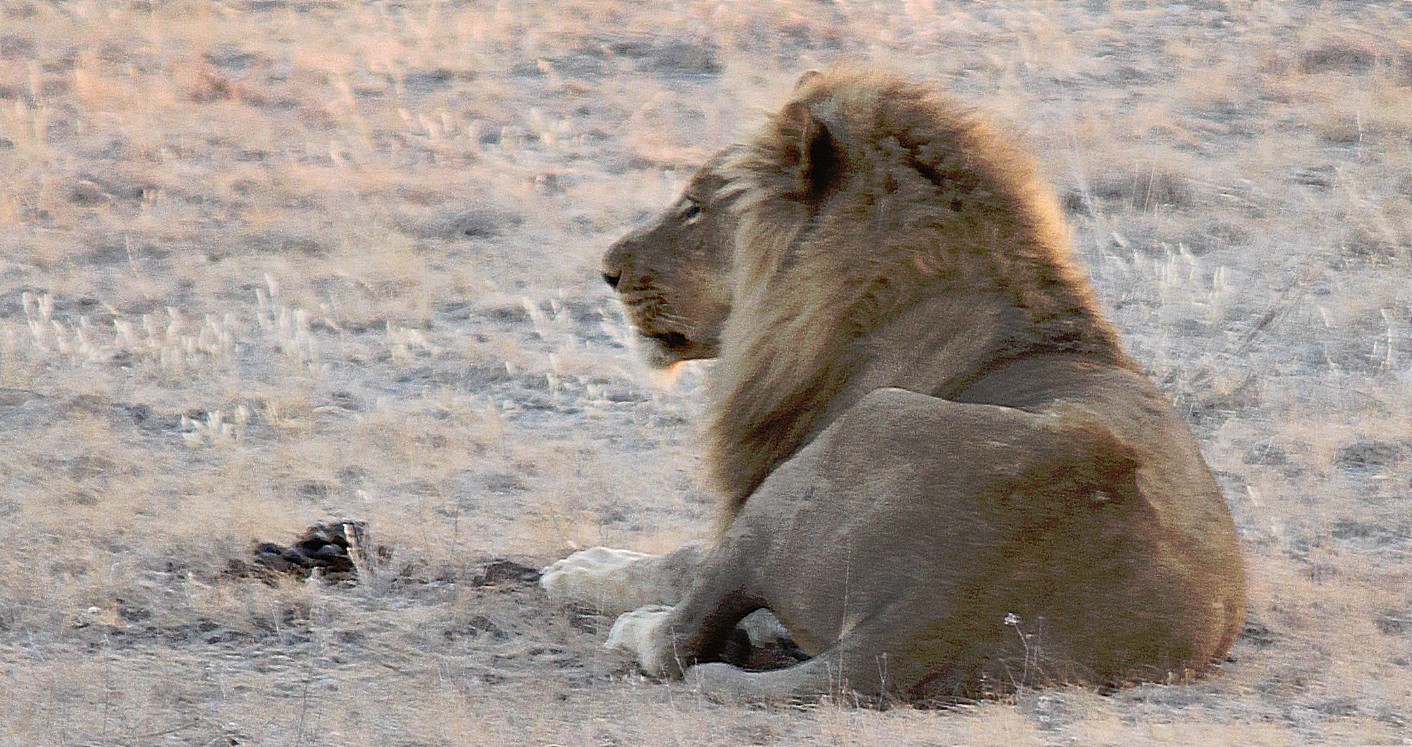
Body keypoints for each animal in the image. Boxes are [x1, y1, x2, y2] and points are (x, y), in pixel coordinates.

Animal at [539, 64, 1248, 700]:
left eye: (692, 208)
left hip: (855, 435)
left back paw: (638, 627)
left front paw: (581, 567)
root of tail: (944, 600)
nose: (607, 270)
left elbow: (680, 560)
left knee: (680, 640)